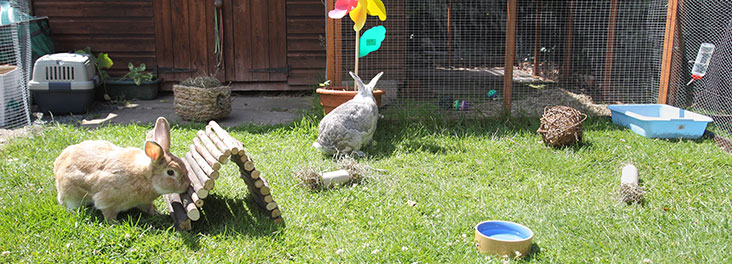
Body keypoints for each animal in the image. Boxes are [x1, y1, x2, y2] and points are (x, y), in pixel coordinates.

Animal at [55, 116, 190, 222]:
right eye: (170, 172)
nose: (187, 185)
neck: (145, 178)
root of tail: (58, 164)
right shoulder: (106, 201)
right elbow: (108, 213)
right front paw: (114, 223)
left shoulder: (144, 202)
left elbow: (148, 208)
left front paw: (157, 213)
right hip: (71, 195)